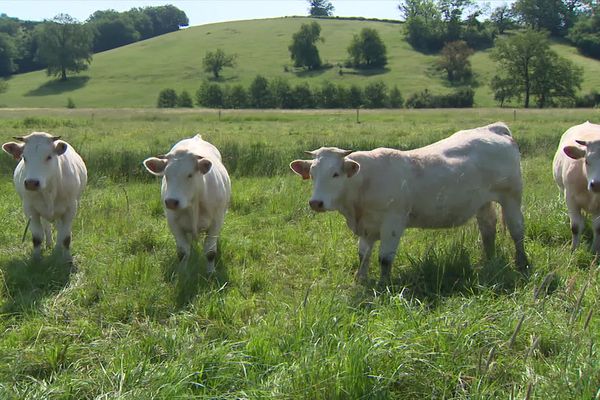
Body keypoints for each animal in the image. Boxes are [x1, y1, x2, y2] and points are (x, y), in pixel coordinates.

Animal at [144, 134, 231, 272]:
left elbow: (210, 252)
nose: (171, 202)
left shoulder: (216, 221)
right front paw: (182, 272)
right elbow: (183, 252)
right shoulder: (173, 223)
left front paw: (211, 272)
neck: (193, 205)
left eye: (190, 175)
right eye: (166, 175)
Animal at [292, 122, 528, 284]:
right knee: (488, 229)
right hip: (483, 202)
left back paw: (522, 264)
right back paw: (488, 261)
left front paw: (383, 285)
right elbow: (363, 256)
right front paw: (361, 280)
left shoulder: (393, 222)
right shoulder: (367, 227)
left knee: (517, 230)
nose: (316, 202)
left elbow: (385, 258)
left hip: (512, 197)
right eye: (312, 173)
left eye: (335, 174)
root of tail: (493, 128)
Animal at [552, 120, 600, 252]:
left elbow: (597, 228)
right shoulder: (570, 198)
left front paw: (595, 250)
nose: (597, 184)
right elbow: (575, 226)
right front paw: (573, 249)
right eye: (586, 161)